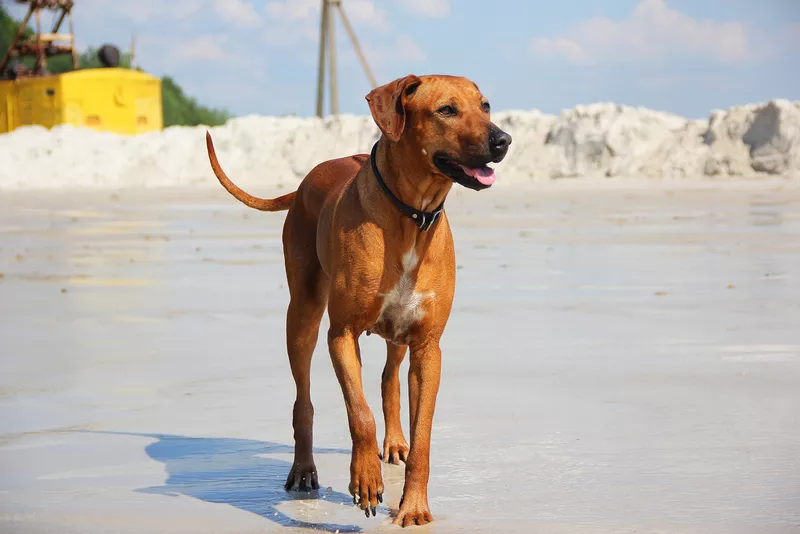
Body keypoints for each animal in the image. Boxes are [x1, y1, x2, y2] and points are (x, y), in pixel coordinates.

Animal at [203, 74, 510, 528]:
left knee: (388, 378)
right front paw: (365, 480)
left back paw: (394, 442)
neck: (411, 216)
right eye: (447, 110)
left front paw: (413, 505)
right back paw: (303, 469)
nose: (503, 139)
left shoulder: (428, 346)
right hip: (303, 317)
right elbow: (359, 414)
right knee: (304, 400)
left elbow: (422, 435)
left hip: (398, 336)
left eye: (485, 105)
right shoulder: (342, 334)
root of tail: (305, 181)